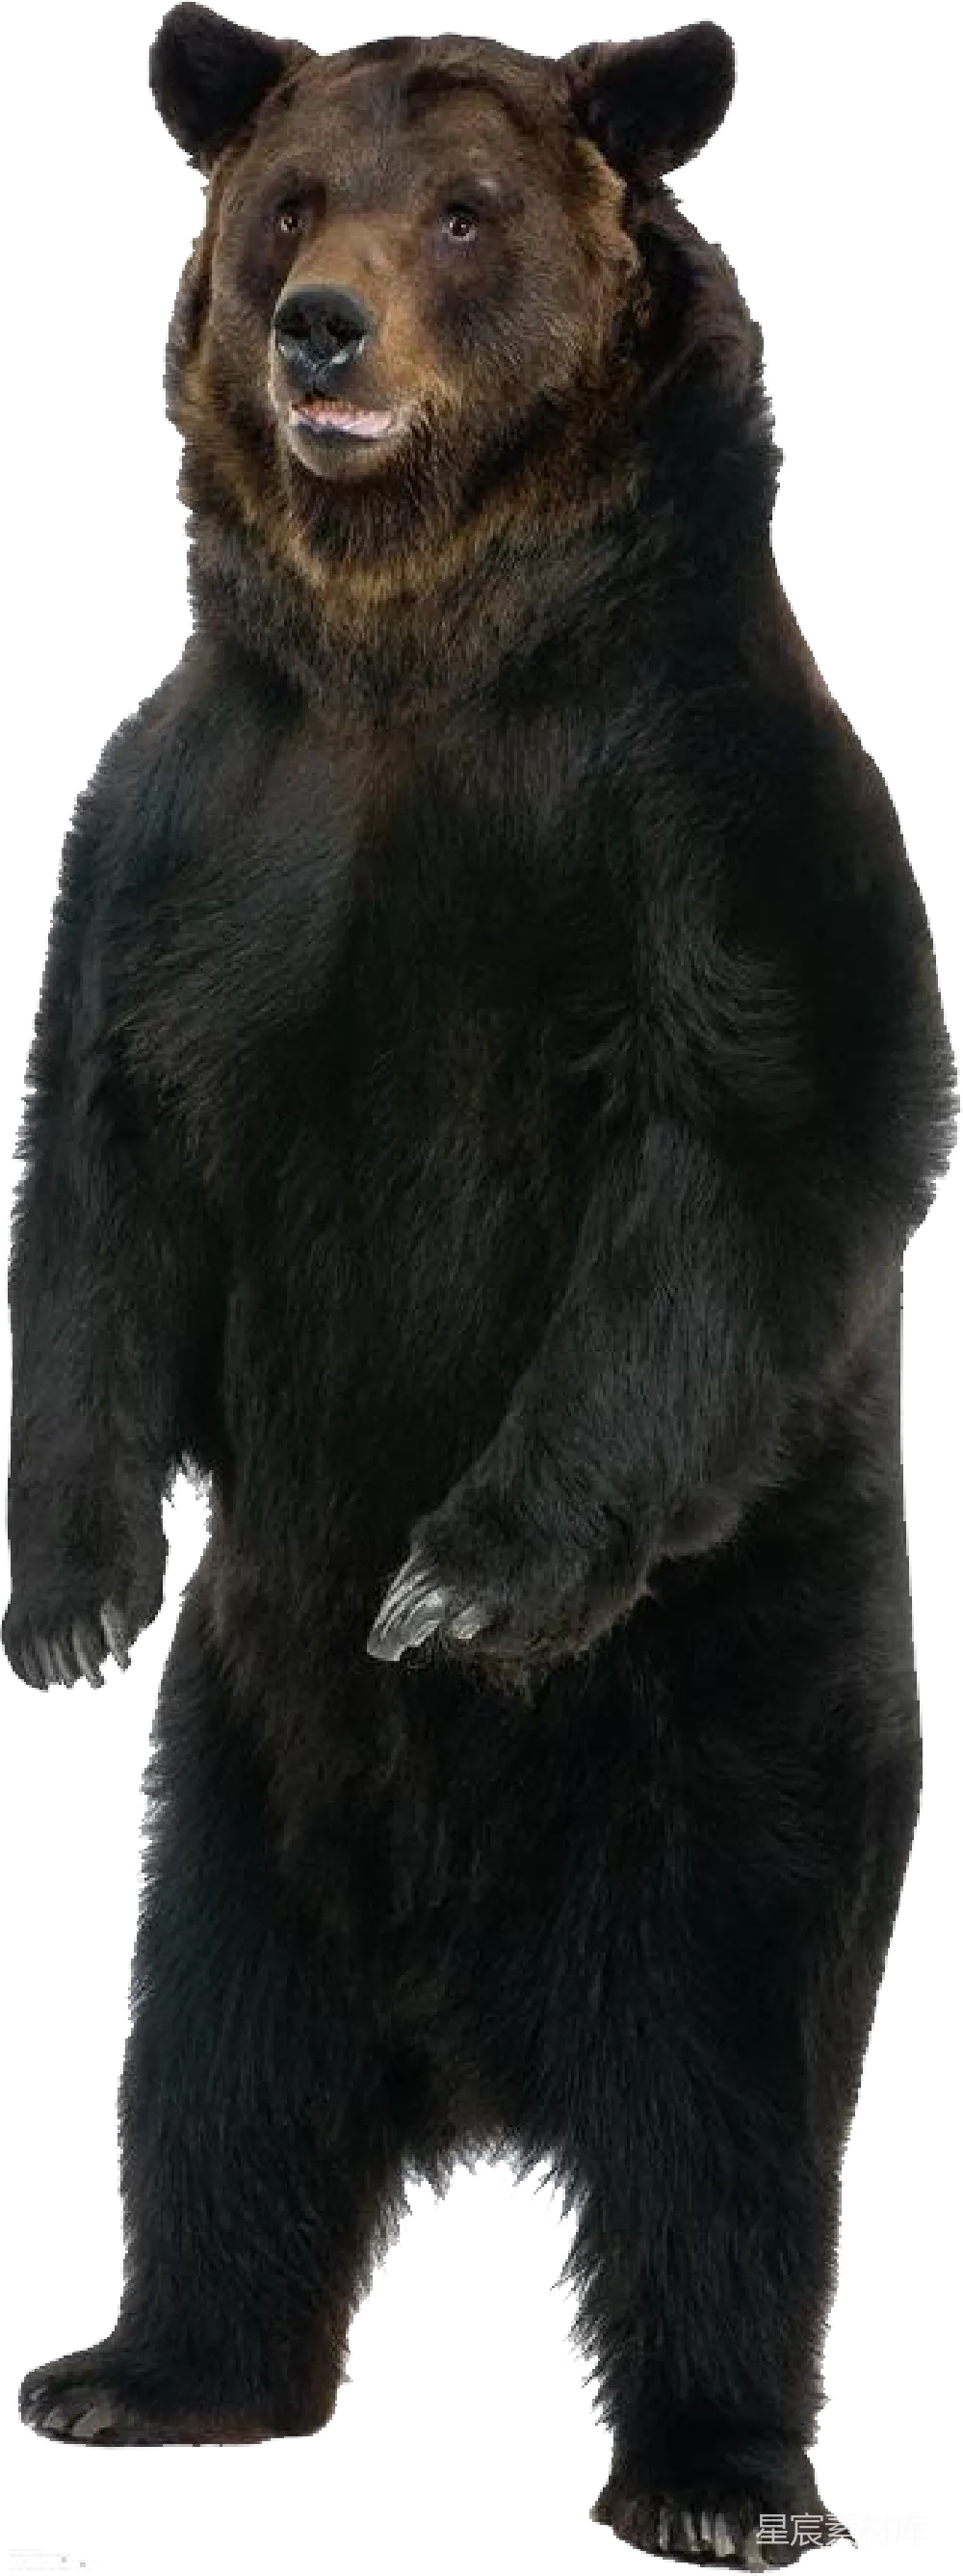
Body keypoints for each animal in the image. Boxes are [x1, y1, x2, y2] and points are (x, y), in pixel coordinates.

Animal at [11, 7, 954, 2559]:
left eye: (462, 212)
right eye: (285, 201)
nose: (321, 329)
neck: (415, 651)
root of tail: (471, 2046)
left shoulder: (692, 810)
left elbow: (737, 1154)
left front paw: (456, 1577)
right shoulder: (192, 830)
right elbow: (99, 1183)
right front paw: (67, 1594)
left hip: (736, 1725)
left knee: (722, 2120)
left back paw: (715, 2469)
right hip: (236, 1794)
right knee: (212, 2071)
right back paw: (144, 2365)